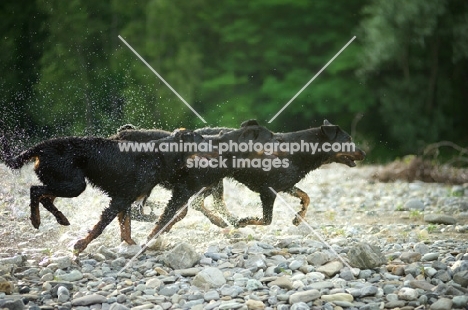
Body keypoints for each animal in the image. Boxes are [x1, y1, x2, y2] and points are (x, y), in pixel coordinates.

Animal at [0, 130, 205, 253]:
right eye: (198, 138)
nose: (209, 142)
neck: (160, 156)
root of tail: (41, 146)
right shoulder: (120, 199)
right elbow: (101, 227)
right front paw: (82, 245)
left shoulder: (125, 200)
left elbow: (126, 228)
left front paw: (131, 244)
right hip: (73, 183)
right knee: (36, 190)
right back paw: (37, 220)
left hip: (66, 181)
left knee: (44, 196)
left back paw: (60, 218)